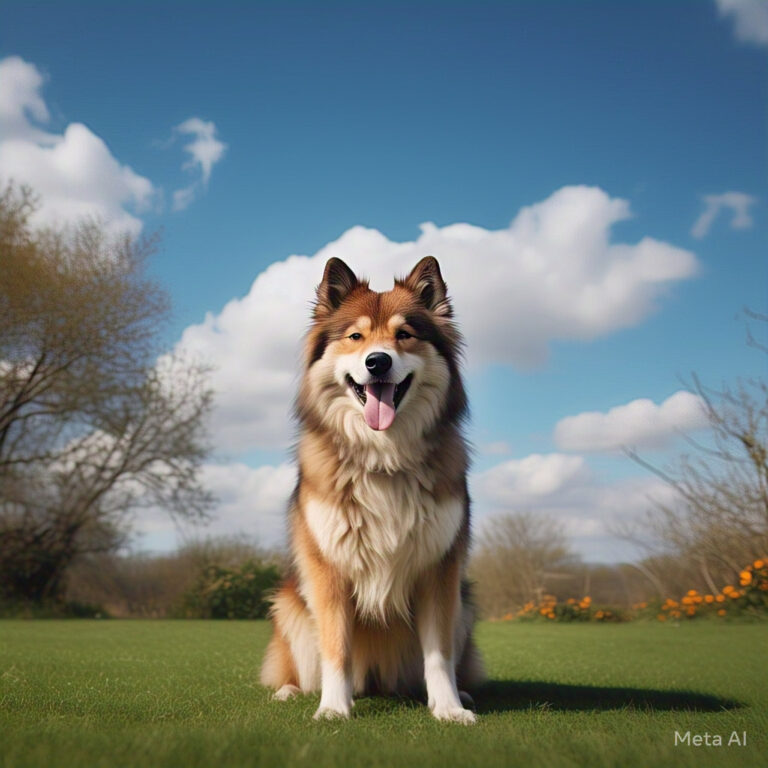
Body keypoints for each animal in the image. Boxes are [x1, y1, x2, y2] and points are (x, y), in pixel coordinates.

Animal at [260, 255, 484, 724]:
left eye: (405, 334)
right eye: (355, 337)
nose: (377, 362)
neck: (384, 458)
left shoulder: (440, 571)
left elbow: (438, 653)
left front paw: (449, 708)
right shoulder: (328, 572)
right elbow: (336, 648)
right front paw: (333, 708)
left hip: (467, 605)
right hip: (290, 607)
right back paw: (290, 691)